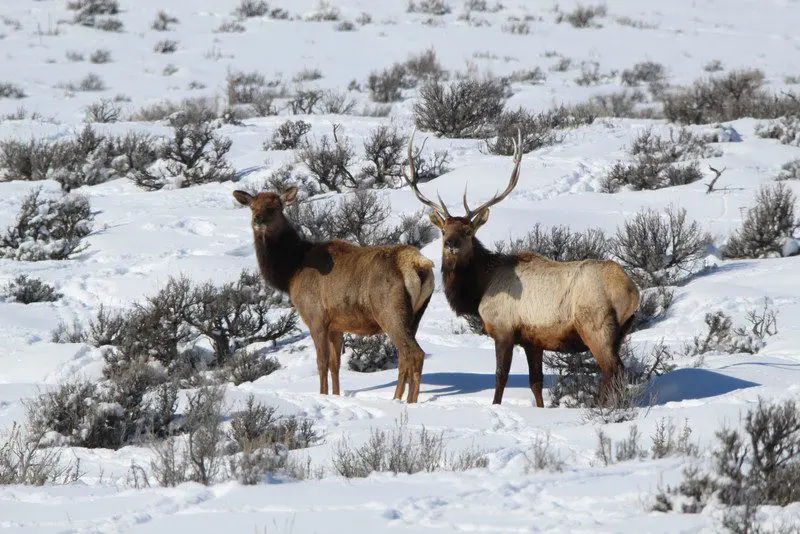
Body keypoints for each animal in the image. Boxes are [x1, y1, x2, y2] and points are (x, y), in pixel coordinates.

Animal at [233, 186, 438, 404]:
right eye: (252, 206)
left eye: (276, 207)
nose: (259, 220)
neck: (291, 272)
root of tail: (419, 265)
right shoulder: (336, 325)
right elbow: (335, 364)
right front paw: (337, 395)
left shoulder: (315, 316)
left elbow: (321, 362)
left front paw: (322, 395)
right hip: (414, 316)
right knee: (404, 357)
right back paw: (397, 399)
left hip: (390, 312)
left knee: (414, 354)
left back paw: (409, 402)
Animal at [404, 132, 640, 408]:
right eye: (443, 230)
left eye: (468, 231)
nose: (451, 244)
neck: (480, 288)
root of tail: (633, 291)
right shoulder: (532, 340)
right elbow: (535, 382)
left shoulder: (503, 329)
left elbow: (500, 377)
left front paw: (495, 406)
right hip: (620, 332)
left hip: (596, 325)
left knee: (613, 370)